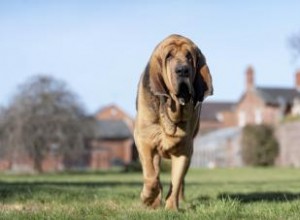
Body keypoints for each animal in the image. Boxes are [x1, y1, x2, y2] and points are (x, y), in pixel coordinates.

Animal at [134, 34, 213, 210]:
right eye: (169, 56)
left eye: (189, 57)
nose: (182, 70)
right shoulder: (144, 140)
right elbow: (151, 176)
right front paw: (147, 198)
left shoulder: (184, 151)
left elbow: (176, 182)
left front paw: (171, 209)